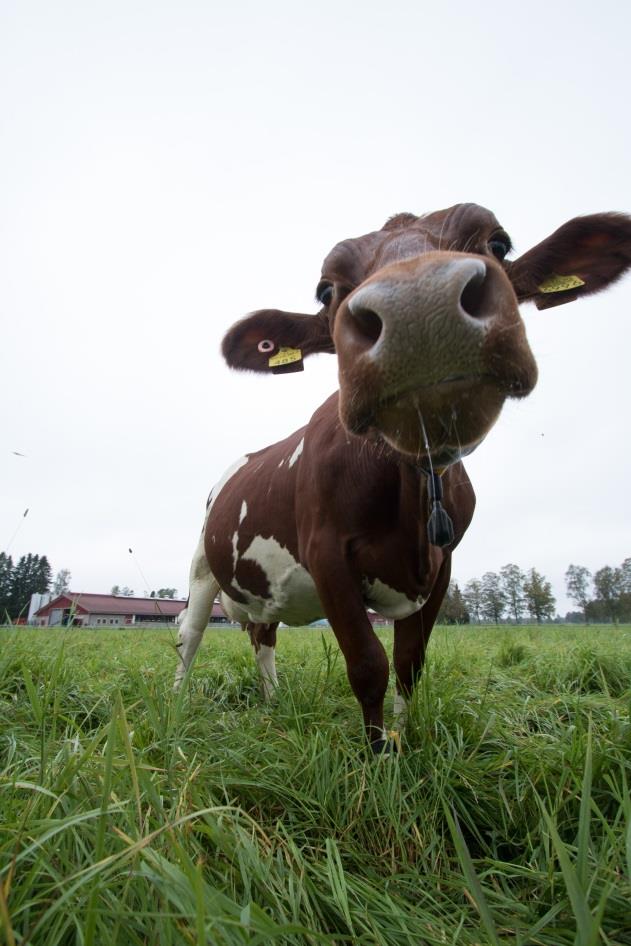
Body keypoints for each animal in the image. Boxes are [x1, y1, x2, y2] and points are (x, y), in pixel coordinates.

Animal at [175, 203, 631, 748]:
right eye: (326, 290)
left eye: (498, 244)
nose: (418, 304)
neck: (411, 498)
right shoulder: (326, 554)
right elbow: (368, 665)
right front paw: (375, 757)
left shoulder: (442, 565)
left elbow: (410, 662)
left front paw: (402, 743)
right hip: (202, 565)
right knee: (189, 633)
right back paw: (173, 705)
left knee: (263, 636)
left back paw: (272, 703)